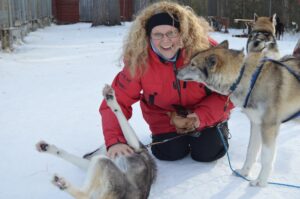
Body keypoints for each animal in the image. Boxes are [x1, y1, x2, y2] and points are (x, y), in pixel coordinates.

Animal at [177, 40, 300, 187]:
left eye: (193, 64)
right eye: (190, 61)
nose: (175, 70)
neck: (243, 77)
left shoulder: (268, 127)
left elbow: (266, 158)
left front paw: (261, 181)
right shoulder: (256, 124)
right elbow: (251, 151)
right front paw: (244, 172)